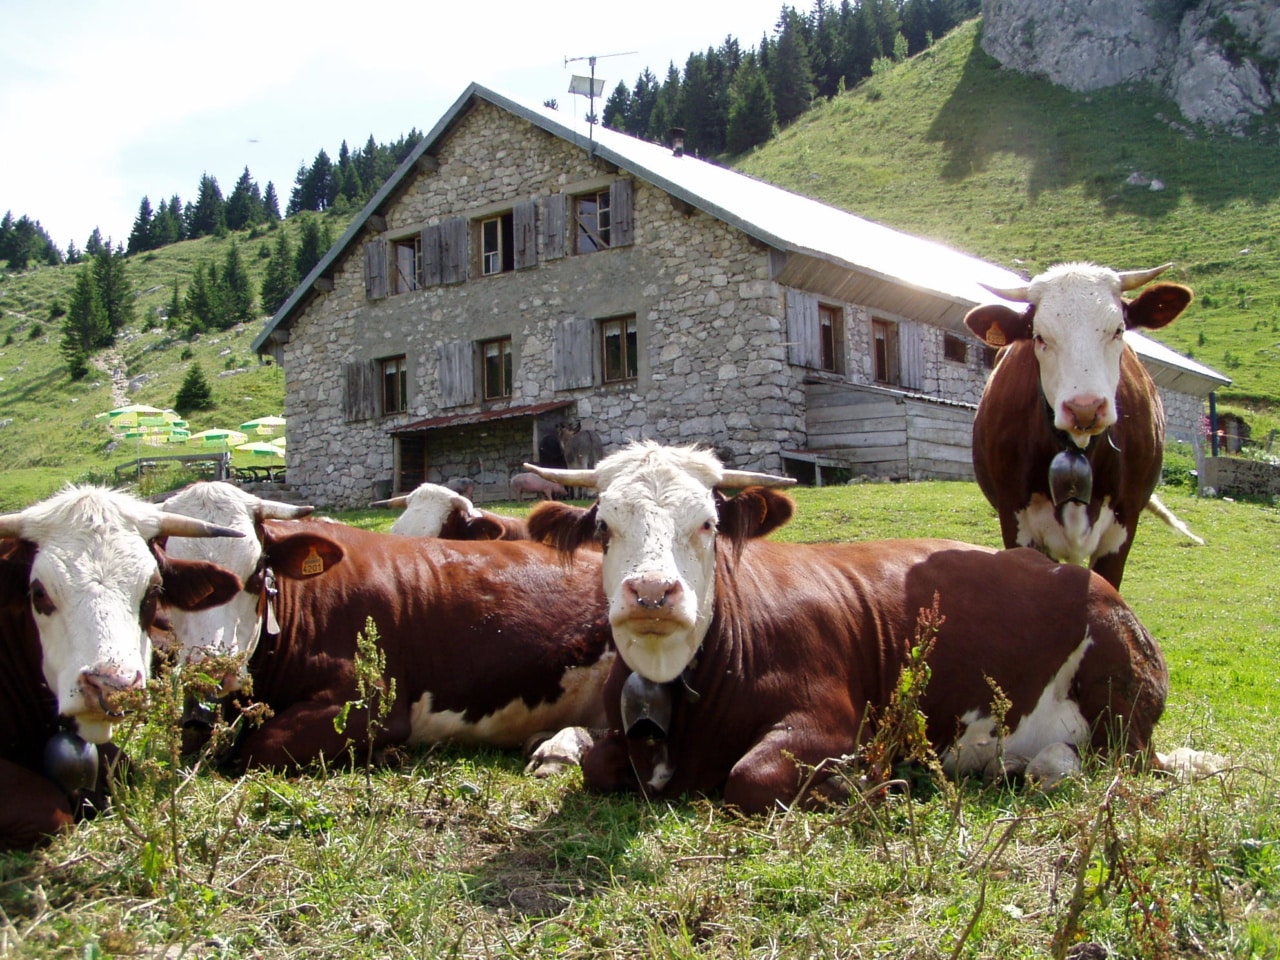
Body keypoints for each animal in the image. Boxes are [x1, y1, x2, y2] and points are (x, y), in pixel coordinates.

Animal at [522, 442, 1172, 814]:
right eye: (603, 526)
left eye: (708, 523)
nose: (653, 592)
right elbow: (596, 764)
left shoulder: (829, 718)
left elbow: (749, 778)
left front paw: (862, 784)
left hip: (1122, 710)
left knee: (1105, 761)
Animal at [967, 261, 1198, 586]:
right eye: (1039, 337)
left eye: (1119, 330)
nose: (1085, 408)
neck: (1078, 447)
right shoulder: (1015, 521)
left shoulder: (1123, 526)